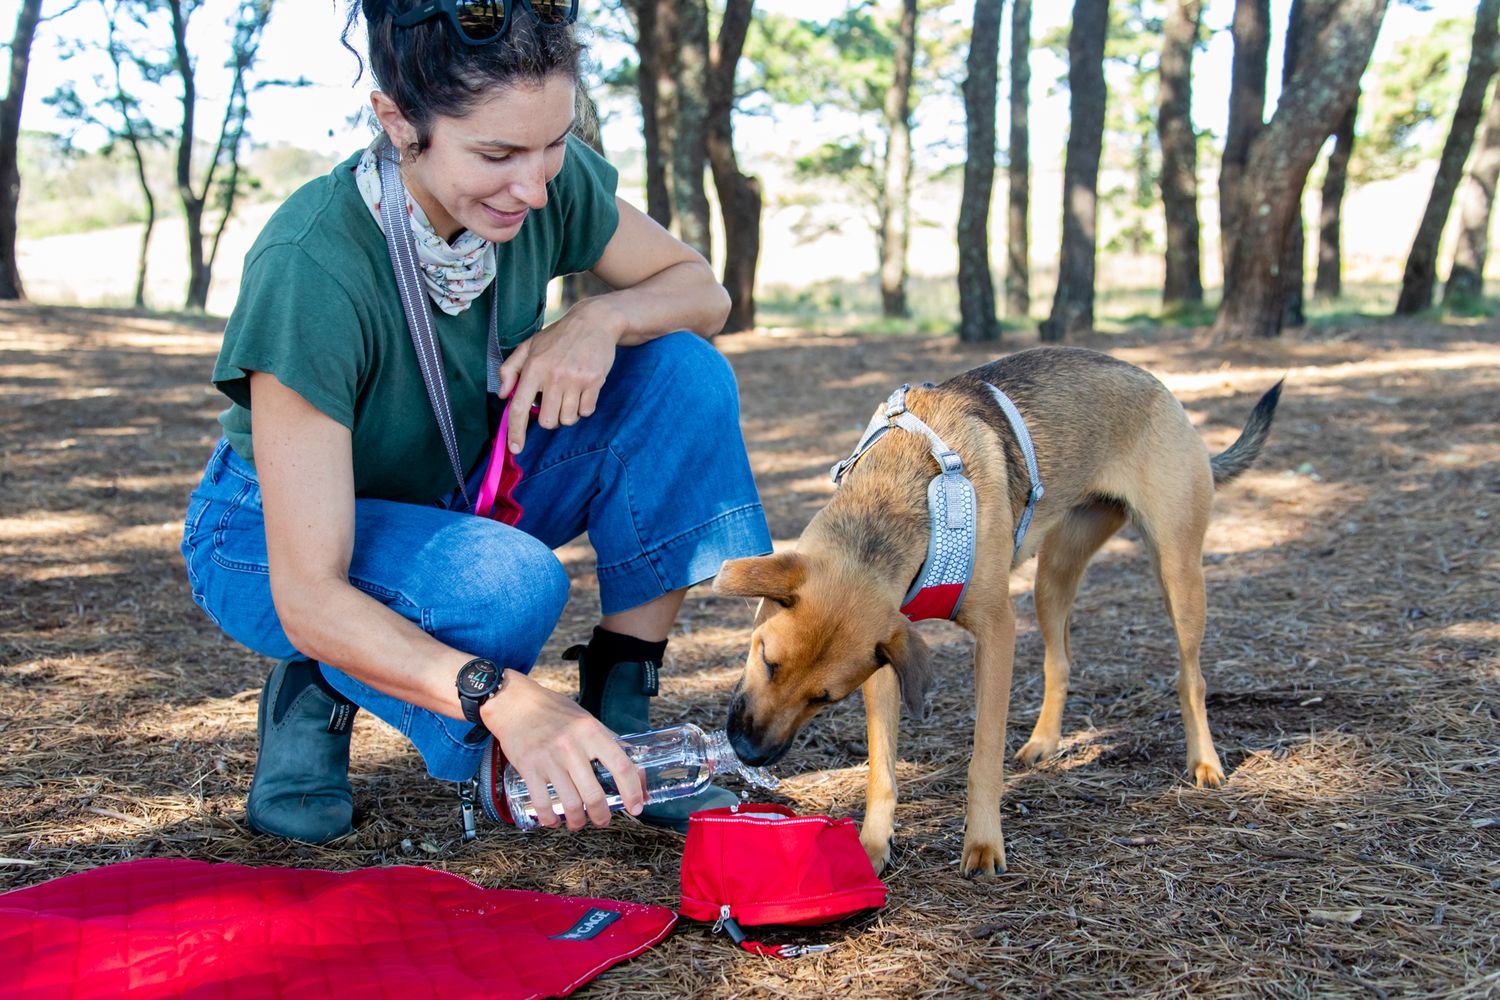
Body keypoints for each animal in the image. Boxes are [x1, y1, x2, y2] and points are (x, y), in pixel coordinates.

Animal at [715, 346, 1281, 877]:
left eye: (824, 698)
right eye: (766, 660)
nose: (748, 754)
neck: (902, 495)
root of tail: (1160, 387)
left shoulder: (996, 632)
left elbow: (982, 758)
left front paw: (983, 842)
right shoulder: (888, 657)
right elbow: (882, 769)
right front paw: (873, 844)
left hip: (1178, 575)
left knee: (1191, 677)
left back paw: (1204, 760)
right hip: (1054, 576)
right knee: (1060, 661)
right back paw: (1044, 742)